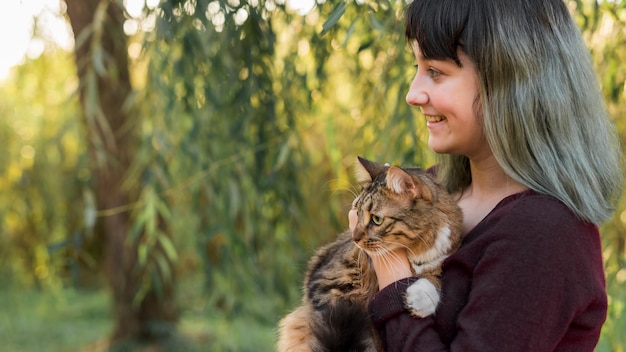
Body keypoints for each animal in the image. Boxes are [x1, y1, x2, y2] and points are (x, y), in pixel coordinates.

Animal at [276, 157, 460, 352]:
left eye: (376, 219)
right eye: (356, 212)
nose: (355, 237)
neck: (414, 251)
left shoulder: (438, 259)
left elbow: (434, 279)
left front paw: (421, 298)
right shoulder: (328, 284)